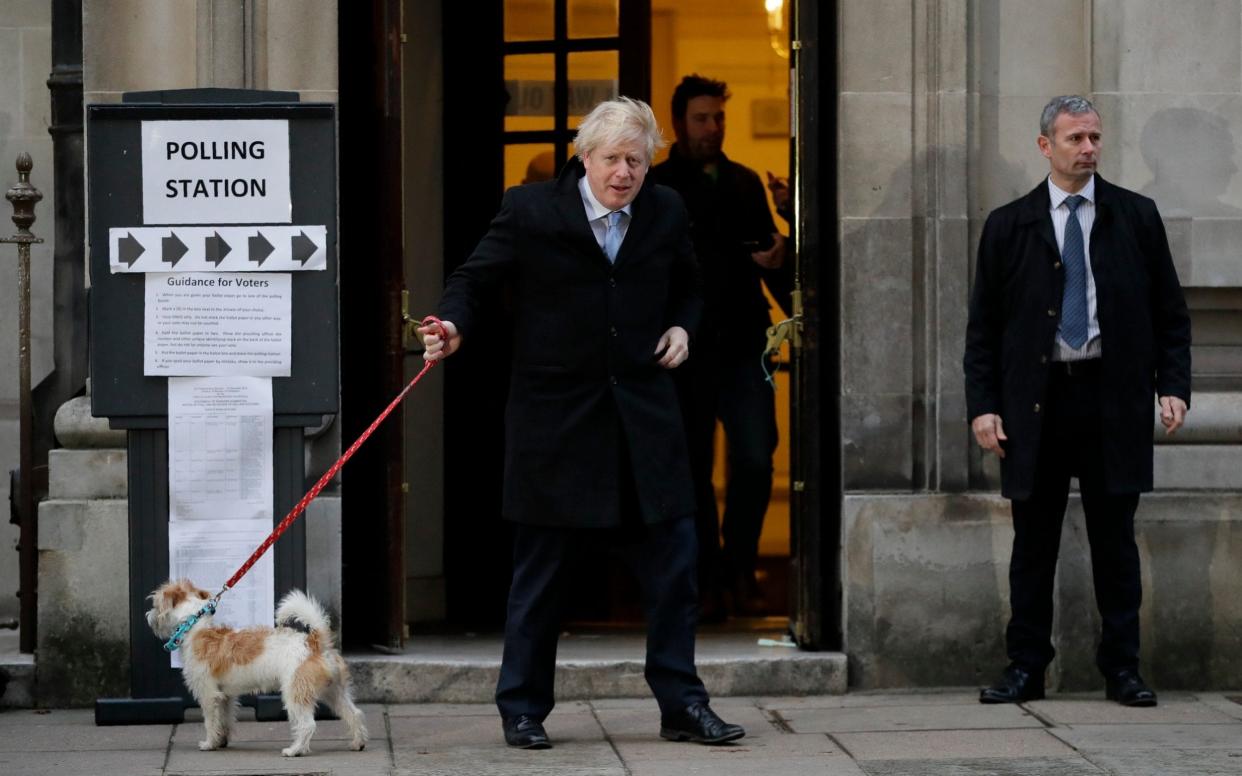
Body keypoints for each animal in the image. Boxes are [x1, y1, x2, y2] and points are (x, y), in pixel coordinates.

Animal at [146, 578, 367, 754]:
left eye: (156, 604)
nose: (148, 615)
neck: (195, 627)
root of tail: (314, 641)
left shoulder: (208, 695)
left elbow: (210, 721)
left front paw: (209, 744)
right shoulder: (225, 697)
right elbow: (224, 720)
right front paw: (221, 741)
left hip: (296, 693)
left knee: (307, 724)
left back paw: (295, 750)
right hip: (334, 692)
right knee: (354, 714)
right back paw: (358, 743)